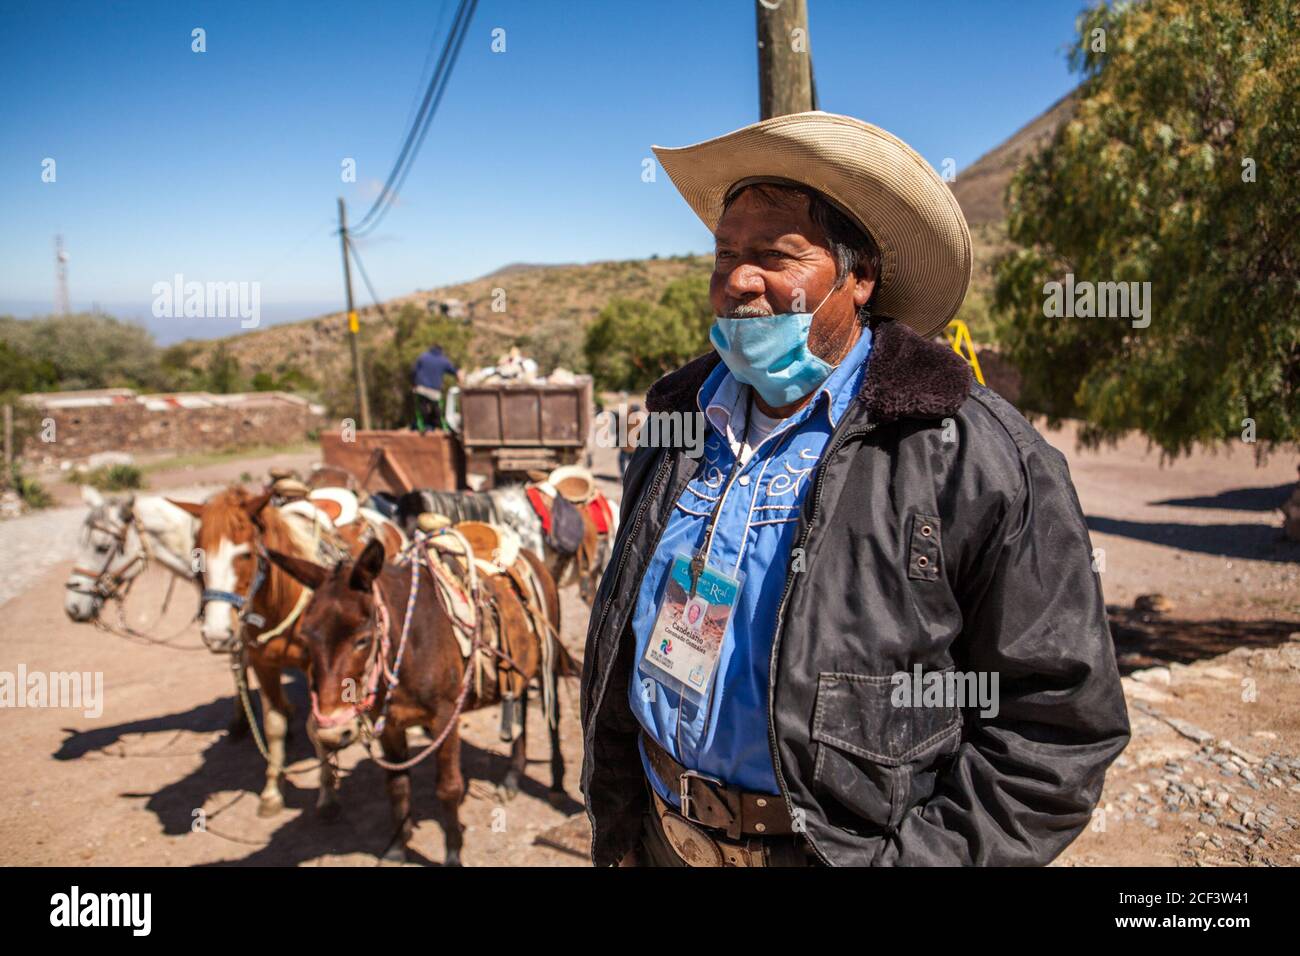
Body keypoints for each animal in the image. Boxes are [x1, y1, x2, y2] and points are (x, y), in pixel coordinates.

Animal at [166, 489, 340, 816]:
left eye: (245, 554)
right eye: (197, 554)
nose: (217, 633)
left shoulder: (317, 666)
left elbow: (316, 726)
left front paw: (327, 791)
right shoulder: (263, 664)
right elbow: (273, 725)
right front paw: (272, 791)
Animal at [267, 538, 574, 868]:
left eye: (363, 639)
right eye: (306, 638)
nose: (330, 733)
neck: (407, 647)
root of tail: (533, 556)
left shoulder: (445, 719)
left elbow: (448, 788)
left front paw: (452, 855)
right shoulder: (390, 725)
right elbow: (397, 786)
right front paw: (396, 850)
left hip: (548, 664)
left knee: (553, 719)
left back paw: (557, 784)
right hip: (517, 673)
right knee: (520, 711)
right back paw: (512, 779)